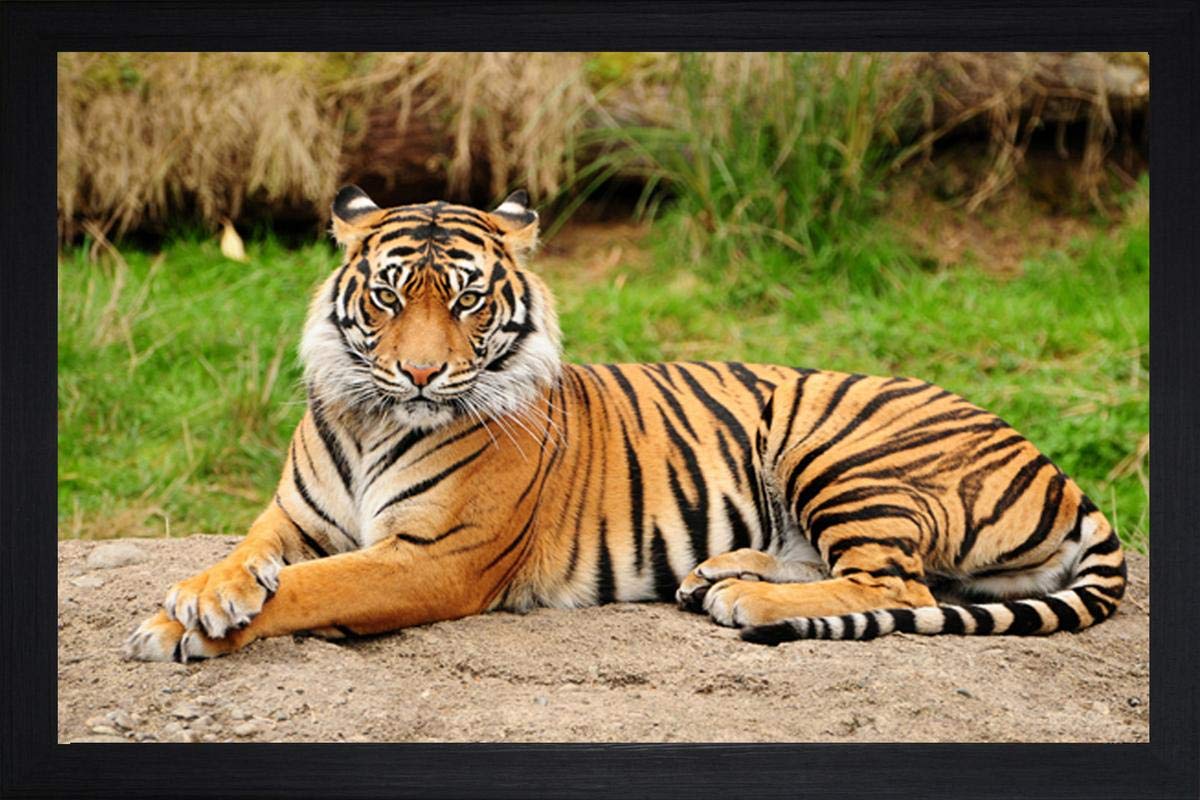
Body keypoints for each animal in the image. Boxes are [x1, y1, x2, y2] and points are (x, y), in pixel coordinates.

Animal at [125, 186, 1127, 662]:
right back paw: (721, 571)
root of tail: (1057, 467)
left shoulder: (436, 557)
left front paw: (183, 627)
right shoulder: (293, 517)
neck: (375, 419)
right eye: (389, 296)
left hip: (838, 447)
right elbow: (249, 557)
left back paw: (745, 598)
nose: (420, 372)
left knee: (898, 584)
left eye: (467, 301)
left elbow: (312, 588)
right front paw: (202, 597)